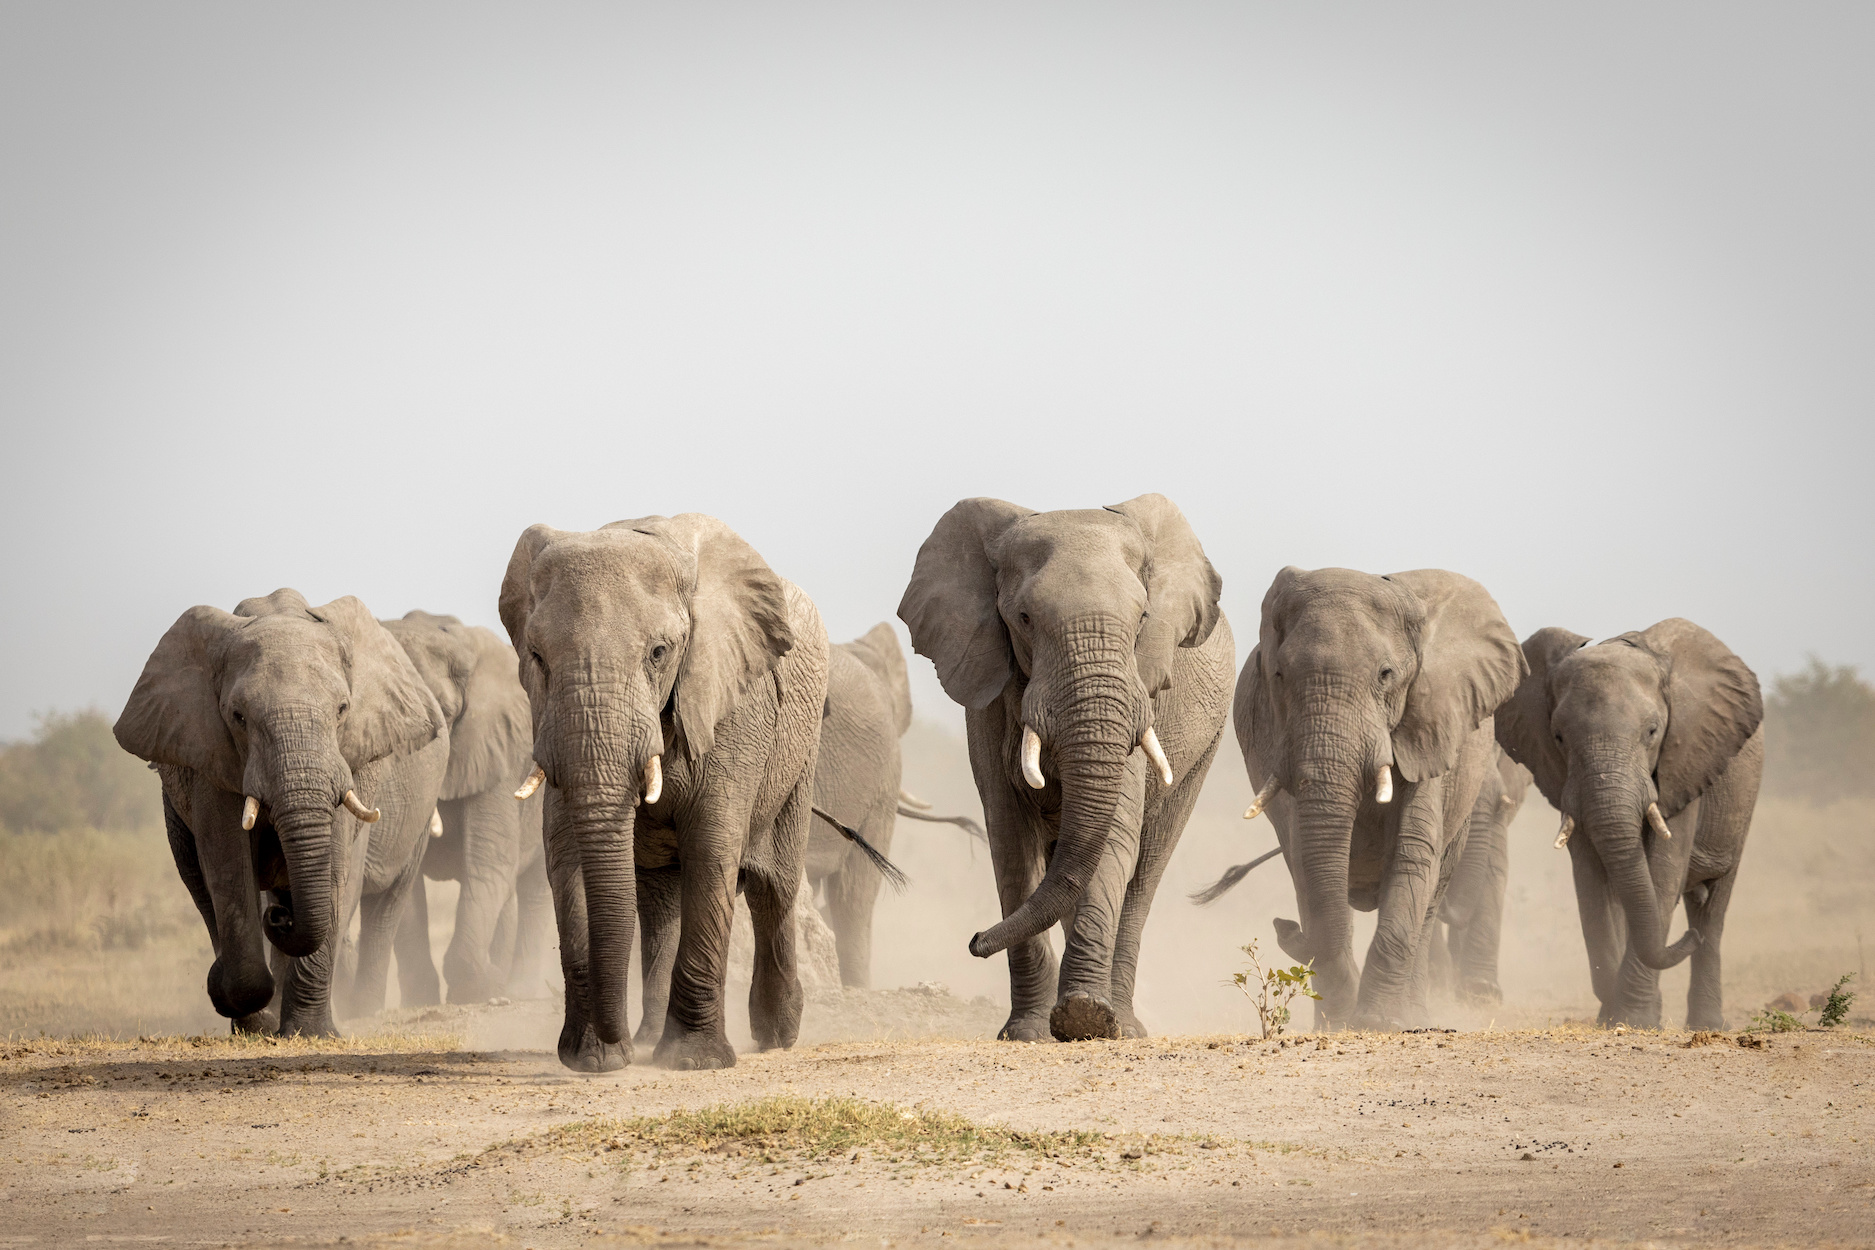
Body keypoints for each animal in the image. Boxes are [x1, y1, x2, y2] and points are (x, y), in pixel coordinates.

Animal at [113, 589, 448, 1036]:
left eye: (342, 710)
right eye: (238, 717)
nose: (281, 918)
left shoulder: (352, 760)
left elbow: (337, 864)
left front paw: (310, 1033)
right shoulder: (211, 758)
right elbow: (227, 864)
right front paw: (249, 1011)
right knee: (200, 884)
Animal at [374, 611, 553, 1010]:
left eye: (444, 714)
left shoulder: (499, 752)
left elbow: (489, 861)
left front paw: (480, 989)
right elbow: (405, 882)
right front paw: (422, 1001)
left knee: (530, 888)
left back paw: (517, 989)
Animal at [499, 513, 830, 1072]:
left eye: (659, 653)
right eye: (537, 657)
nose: (616, 1044)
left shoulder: (732, 707)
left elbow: (712, 850)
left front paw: (694, 1061)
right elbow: (567, 857)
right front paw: (593, 1060)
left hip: (800, 753)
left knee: (774, 890)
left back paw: (776, 1034)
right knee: (660, 904)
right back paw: (651, 1036)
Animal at [898, 494, 1233, 1043]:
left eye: (1143, 616)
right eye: (1024, 618)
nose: (974, 941)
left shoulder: (1139, 696)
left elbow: (1115, 837)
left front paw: (1085, 1018)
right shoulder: (989, 702)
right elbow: (1010, 841)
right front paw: (1028, 1032)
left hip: (1205, 749)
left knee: (1144, 874)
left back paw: (1126, 1023)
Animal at [1495, 619, 1763, 1030]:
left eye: (1652, 732)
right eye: (1558, 737)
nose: (1687, 939)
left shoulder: (1683, 764)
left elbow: (1662, 872)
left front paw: (1636, 1019)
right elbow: (1592, 879)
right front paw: (1617, 1014)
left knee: (1714, 907)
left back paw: (1707, 1020)